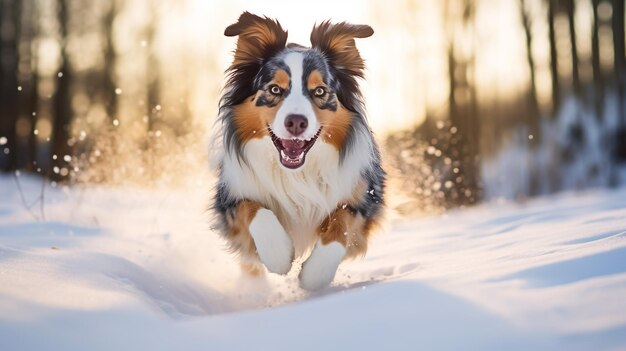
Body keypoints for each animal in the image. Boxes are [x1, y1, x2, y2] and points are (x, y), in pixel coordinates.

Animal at [212, 11, 382, 292]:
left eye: (320, 90)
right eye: (274, 89)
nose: (296, 122)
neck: (296, 173)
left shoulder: (367, 200)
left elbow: (341, 222)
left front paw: (315, 274)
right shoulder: (228, 199)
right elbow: (254, 208)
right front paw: (278, 254)